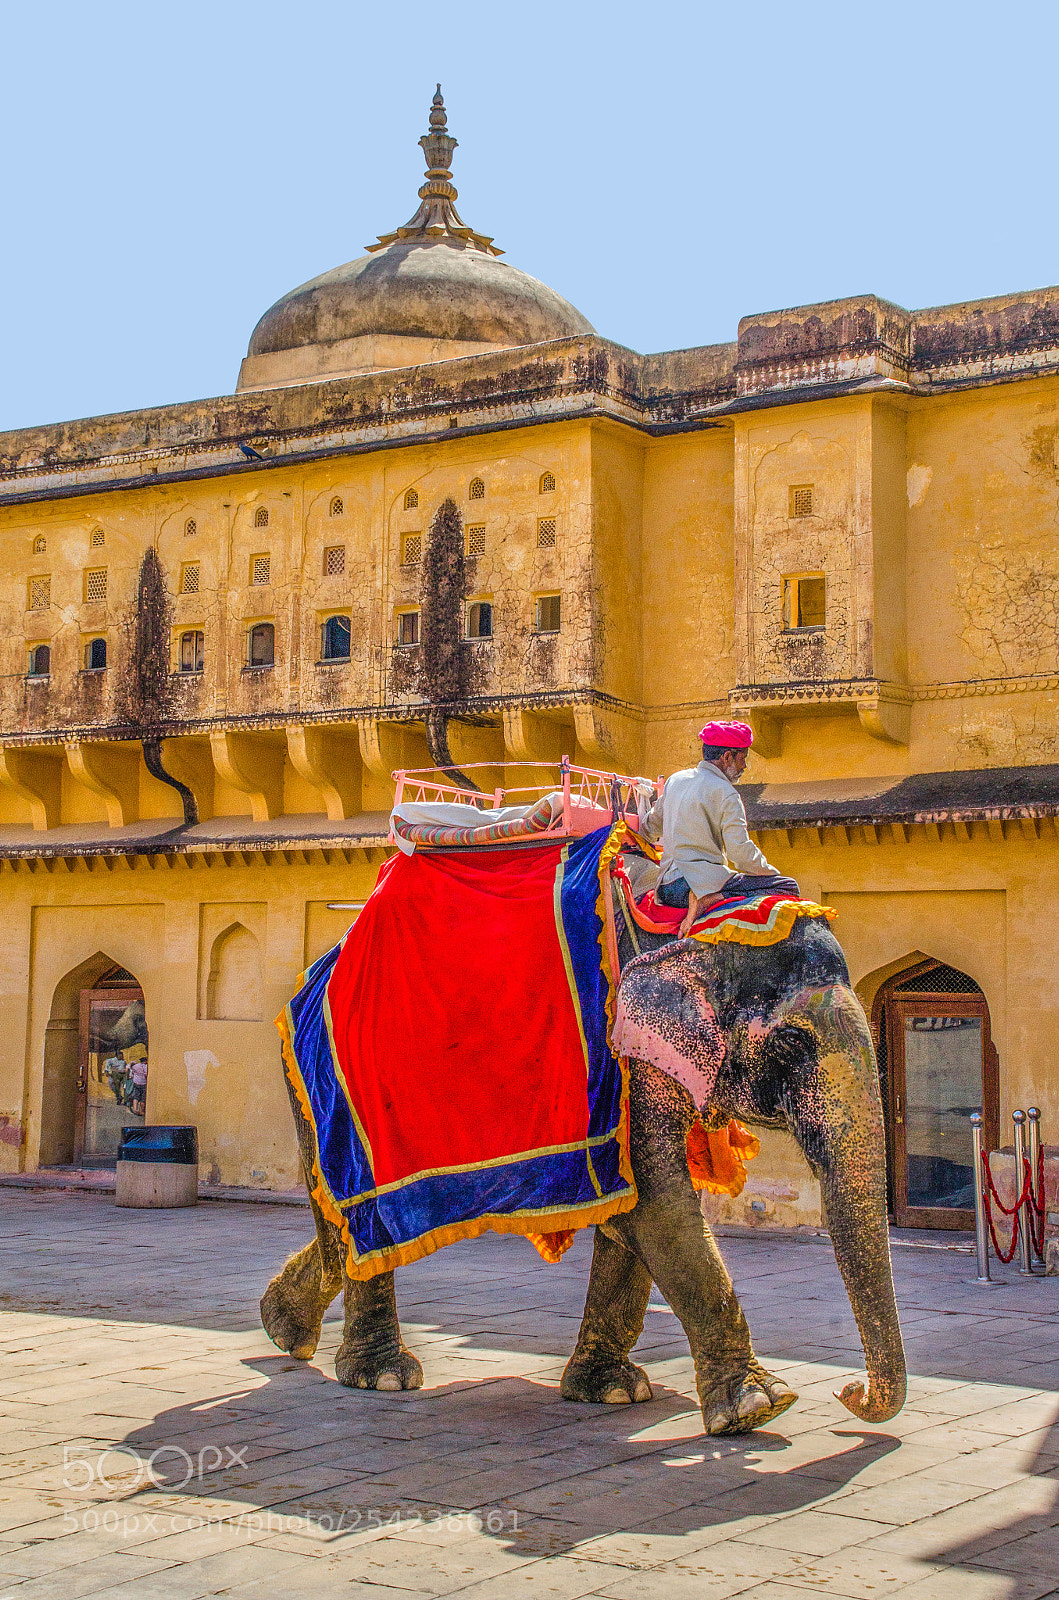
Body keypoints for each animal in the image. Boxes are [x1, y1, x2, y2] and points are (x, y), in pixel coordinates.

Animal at [262, 887, 906, 1438]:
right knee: (353, 1220)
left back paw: (283, 1328)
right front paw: (758, 1408)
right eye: (792, 1043)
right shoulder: (620, 1051)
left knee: (340, 1228)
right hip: (328, 1093)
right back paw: (381, 1376)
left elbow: (637, 1213)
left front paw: (611, 1392)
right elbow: (655, 1200)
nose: (849, 1394)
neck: (687, 929)